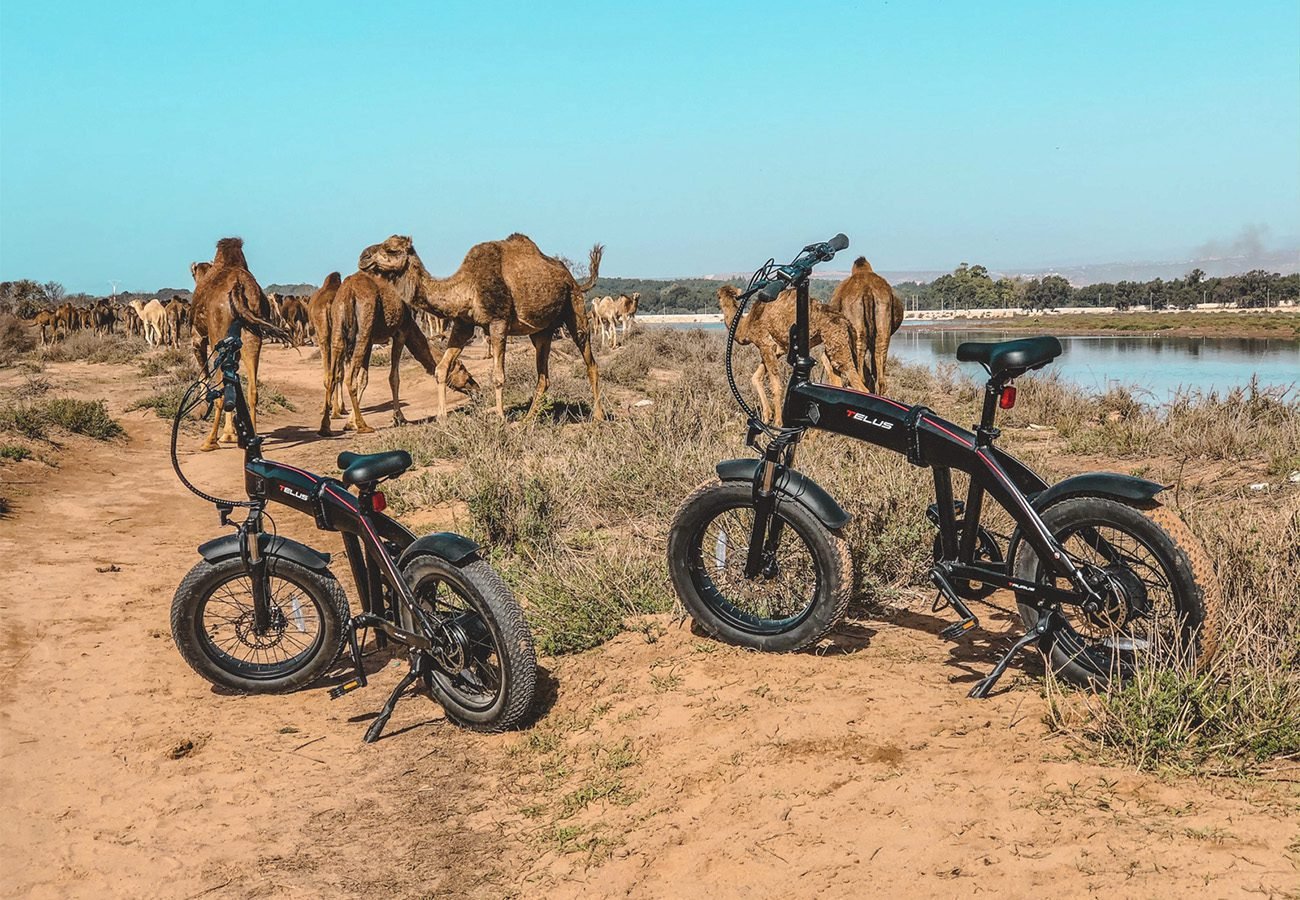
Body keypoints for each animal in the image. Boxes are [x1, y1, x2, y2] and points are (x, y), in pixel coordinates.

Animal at [188, 236, 287, 450]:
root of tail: (239, 287)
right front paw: (230, 434)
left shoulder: (198, 338)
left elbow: (206, 376)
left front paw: (224, 434)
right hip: (252, 334)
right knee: (252, 389)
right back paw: (252, 438)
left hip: (219, 336)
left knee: (222, 391)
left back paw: (210, 441)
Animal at [358, 231, 605, 421]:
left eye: (391, 249)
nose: (363, 256)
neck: (467, 288)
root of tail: (573, 280)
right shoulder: (463, 325)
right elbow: (441, 369)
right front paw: (442, 419)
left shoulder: (498, 322)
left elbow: (497, 376)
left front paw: (500, 419)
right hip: (541, 331)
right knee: (543, 376)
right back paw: (527, 421)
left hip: (575, 308)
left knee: (590, 362)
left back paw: (598, 416)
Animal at [717, 284, 868, 426]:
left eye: (718, 296)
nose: (719, 304)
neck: (746, 325)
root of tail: (845, 320)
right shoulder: (775, 350)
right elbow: (756, 378)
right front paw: (766, 416)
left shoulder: (765, 345)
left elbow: (775, 386)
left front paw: (778, 422)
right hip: (832, 342)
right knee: (832, 370)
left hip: (835, 338)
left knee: (856, 380)